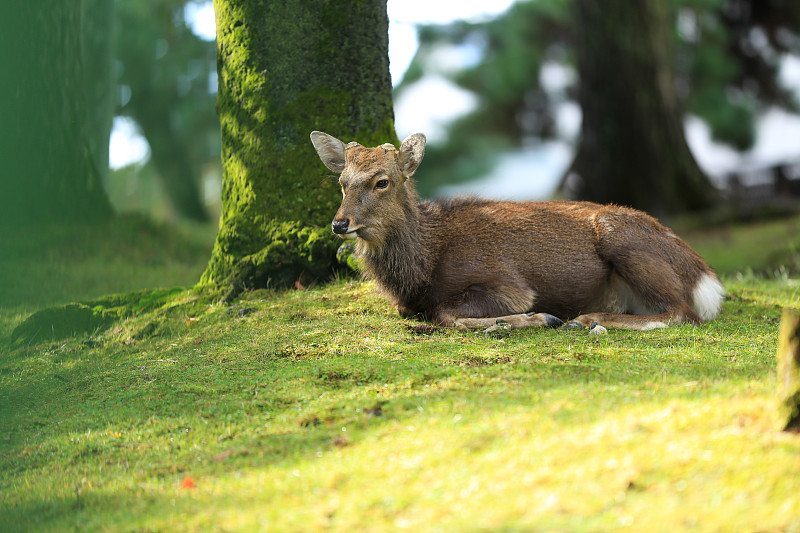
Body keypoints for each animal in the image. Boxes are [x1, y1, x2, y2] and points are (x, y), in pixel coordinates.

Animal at [308, 130, 724, 328]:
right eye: (342, 182)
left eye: (382, 181)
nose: (340, 223)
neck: (423, 266)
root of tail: (706, 277)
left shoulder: (508, 285)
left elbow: (446, 314)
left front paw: (531, 319)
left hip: (622, 238)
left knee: (682, 312)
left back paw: (586, 320)